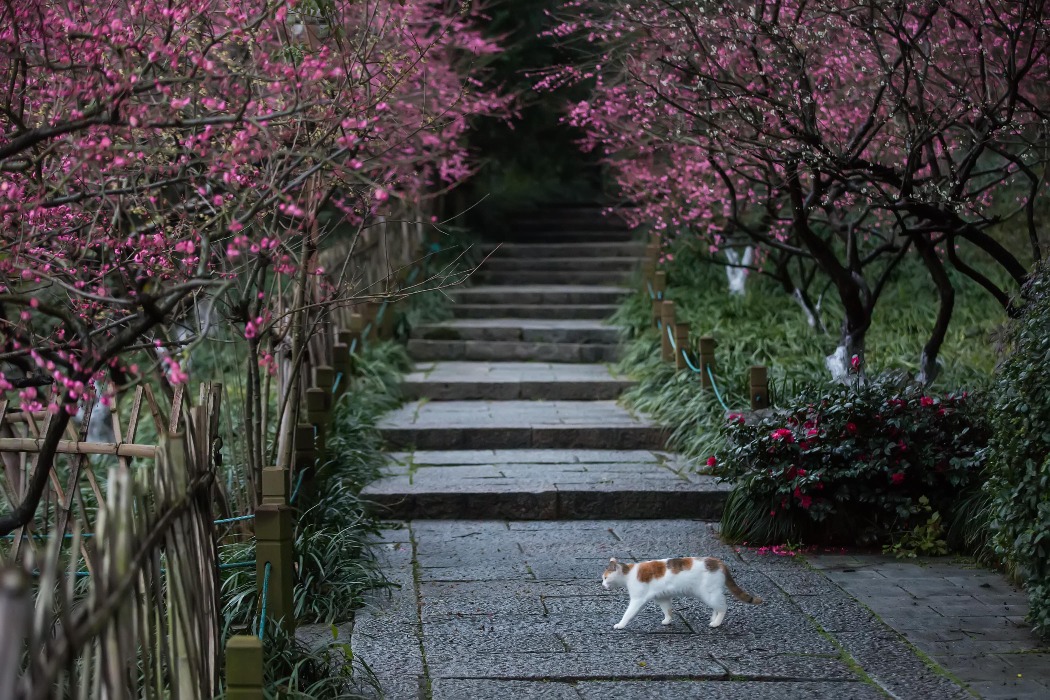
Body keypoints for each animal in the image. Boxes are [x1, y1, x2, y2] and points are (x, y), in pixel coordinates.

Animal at [600, 554, 764, 633]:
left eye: (605, 577)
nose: (602, 585)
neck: (629, 573)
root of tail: (719, 562)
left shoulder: (637, 599)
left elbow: (628, 613)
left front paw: (620, 624)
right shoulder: (662, 597)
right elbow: (667, 610)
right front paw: (667, 620)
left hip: (708, 593)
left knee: (724, 607)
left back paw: (716, 623)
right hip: (710, 594)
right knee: (718, 606)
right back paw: (713, 618)